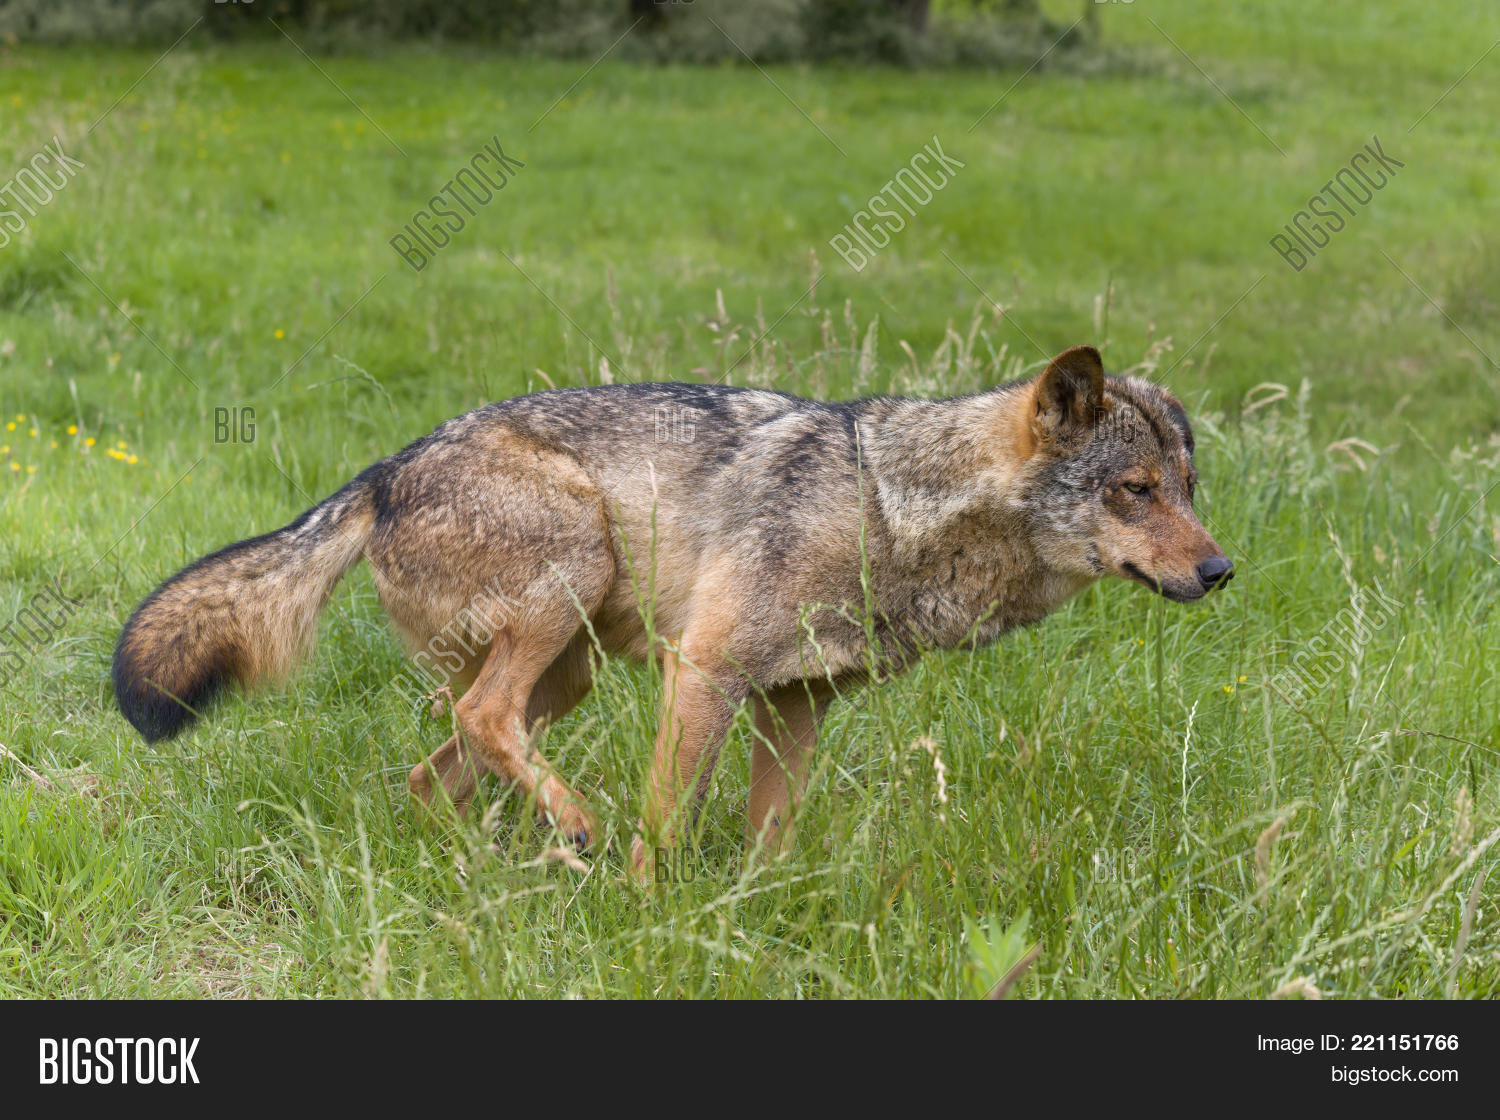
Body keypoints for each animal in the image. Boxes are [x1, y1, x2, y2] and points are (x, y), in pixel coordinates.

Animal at [113, 345, 1231, 876]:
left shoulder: (797, 707)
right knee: (479, 720)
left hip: (570, 673)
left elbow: (770, 838)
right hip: (571, 585)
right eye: (1135, 492)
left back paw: (479, 869)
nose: (1222, 571)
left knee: (435, 771)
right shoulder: (706, 672)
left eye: (1188, 487)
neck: (887, 506)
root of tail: (383, 471)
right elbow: (666, 818)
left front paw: (758, 915)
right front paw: (650, 909)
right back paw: (572, 829)